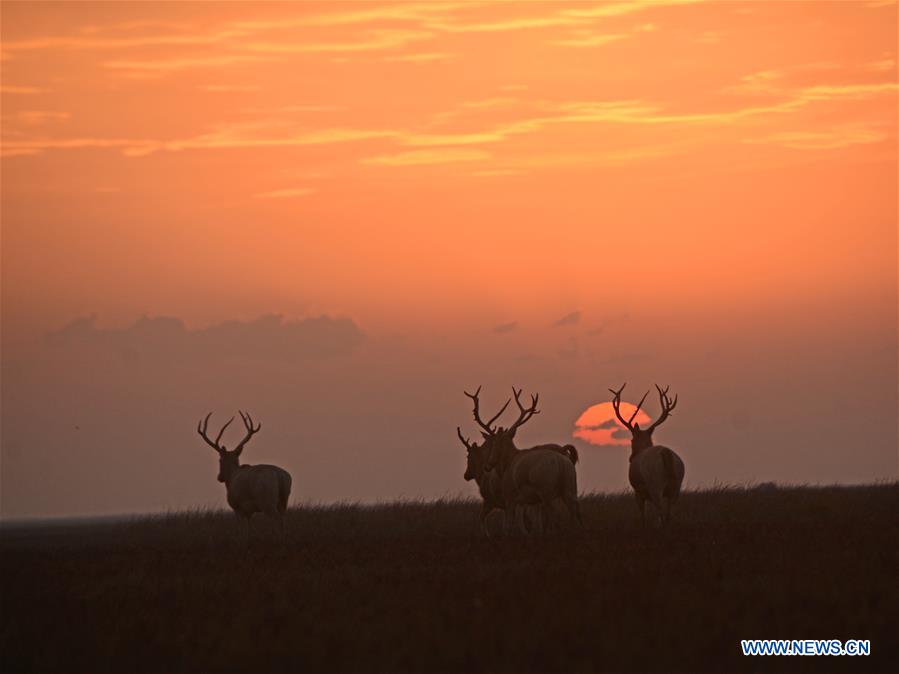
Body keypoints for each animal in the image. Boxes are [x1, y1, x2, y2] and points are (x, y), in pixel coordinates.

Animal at [468, 386, 588, 532]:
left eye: (494, 443)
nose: (488, 465)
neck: (506, 466)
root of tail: (562, 464)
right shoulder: (524, 501)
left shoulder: (510, 496)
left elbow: (509, 524)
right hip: (570, 486)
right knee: (577, 511)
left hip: (547, 490)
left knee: (557, 514)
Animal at [608, 384, 684, 524]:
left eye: (631, 440)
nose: (631, 458)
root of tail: (666, 453)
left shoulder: (637, 490)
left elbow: (642, 514)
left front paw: (643, 525)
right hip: (677, 484)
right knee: (669, 514)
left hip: (655, 483)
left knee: (660, 511)